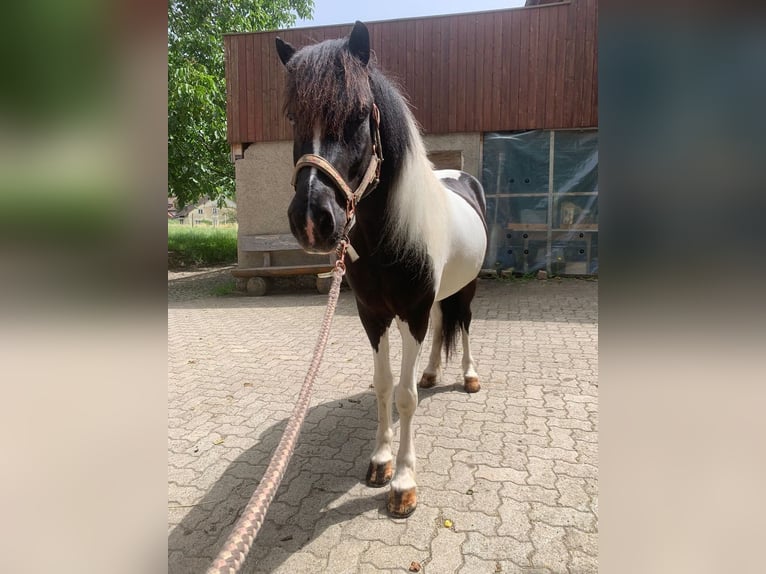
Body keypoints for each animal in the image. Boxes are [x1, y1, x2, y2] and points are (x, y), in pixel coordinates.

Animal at [275, 21, 488, 518]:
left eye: (357, 114)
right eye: (293, 117)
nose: (312, 219)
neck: (387, 236)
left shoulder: (410, 312)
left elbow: (407, 397)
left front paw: (404, 482)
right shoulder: (374, 315)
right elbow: (384, 386)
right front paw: (380, 461)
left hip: (467, 288)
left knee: (465, 325)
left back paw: (468, 376)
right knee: (441, 326)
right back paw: (432, 372)